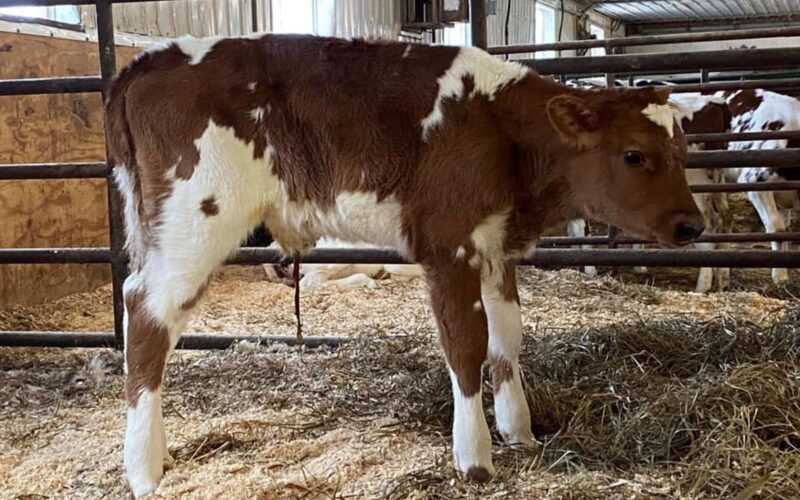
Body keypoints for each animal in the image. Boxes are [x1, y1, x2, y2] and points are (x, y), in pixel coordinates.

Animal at [104, 34, 703, 496]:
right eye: (634, 155)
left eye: (683, 152)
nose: (692, 226)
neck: (500, 128)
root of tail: (146, 62)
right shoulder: (447, 246)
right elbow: (466, 345)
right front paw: (475, 458)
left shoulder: (495, 249)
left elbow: (507, 339)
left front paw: (520, 431)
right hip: (199, 220)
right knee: (148, 315)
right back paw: (144, 471)